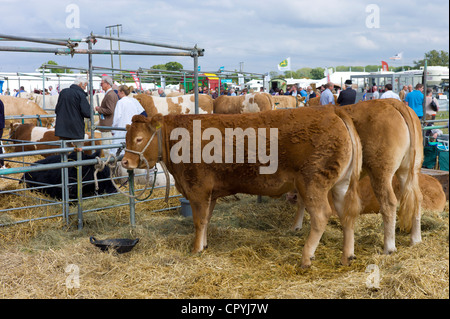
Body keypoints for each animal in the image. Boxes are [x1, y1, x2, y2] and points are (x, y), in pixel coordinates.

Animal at [121, 107, 364, 268]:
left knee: (322, 216)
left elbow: (198, 221)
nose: (125, 162)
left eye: (139, 138)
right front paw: (204, 245)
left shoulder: (197, 188)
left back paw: (306, 258)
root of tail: (332, 111)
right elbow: (206, 219)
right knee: (347, 216)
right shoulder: (210, 193)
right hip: (340, 185)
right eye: (127, 137)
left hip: (313, 183)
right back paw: (347, 256)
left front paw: (196, 249)